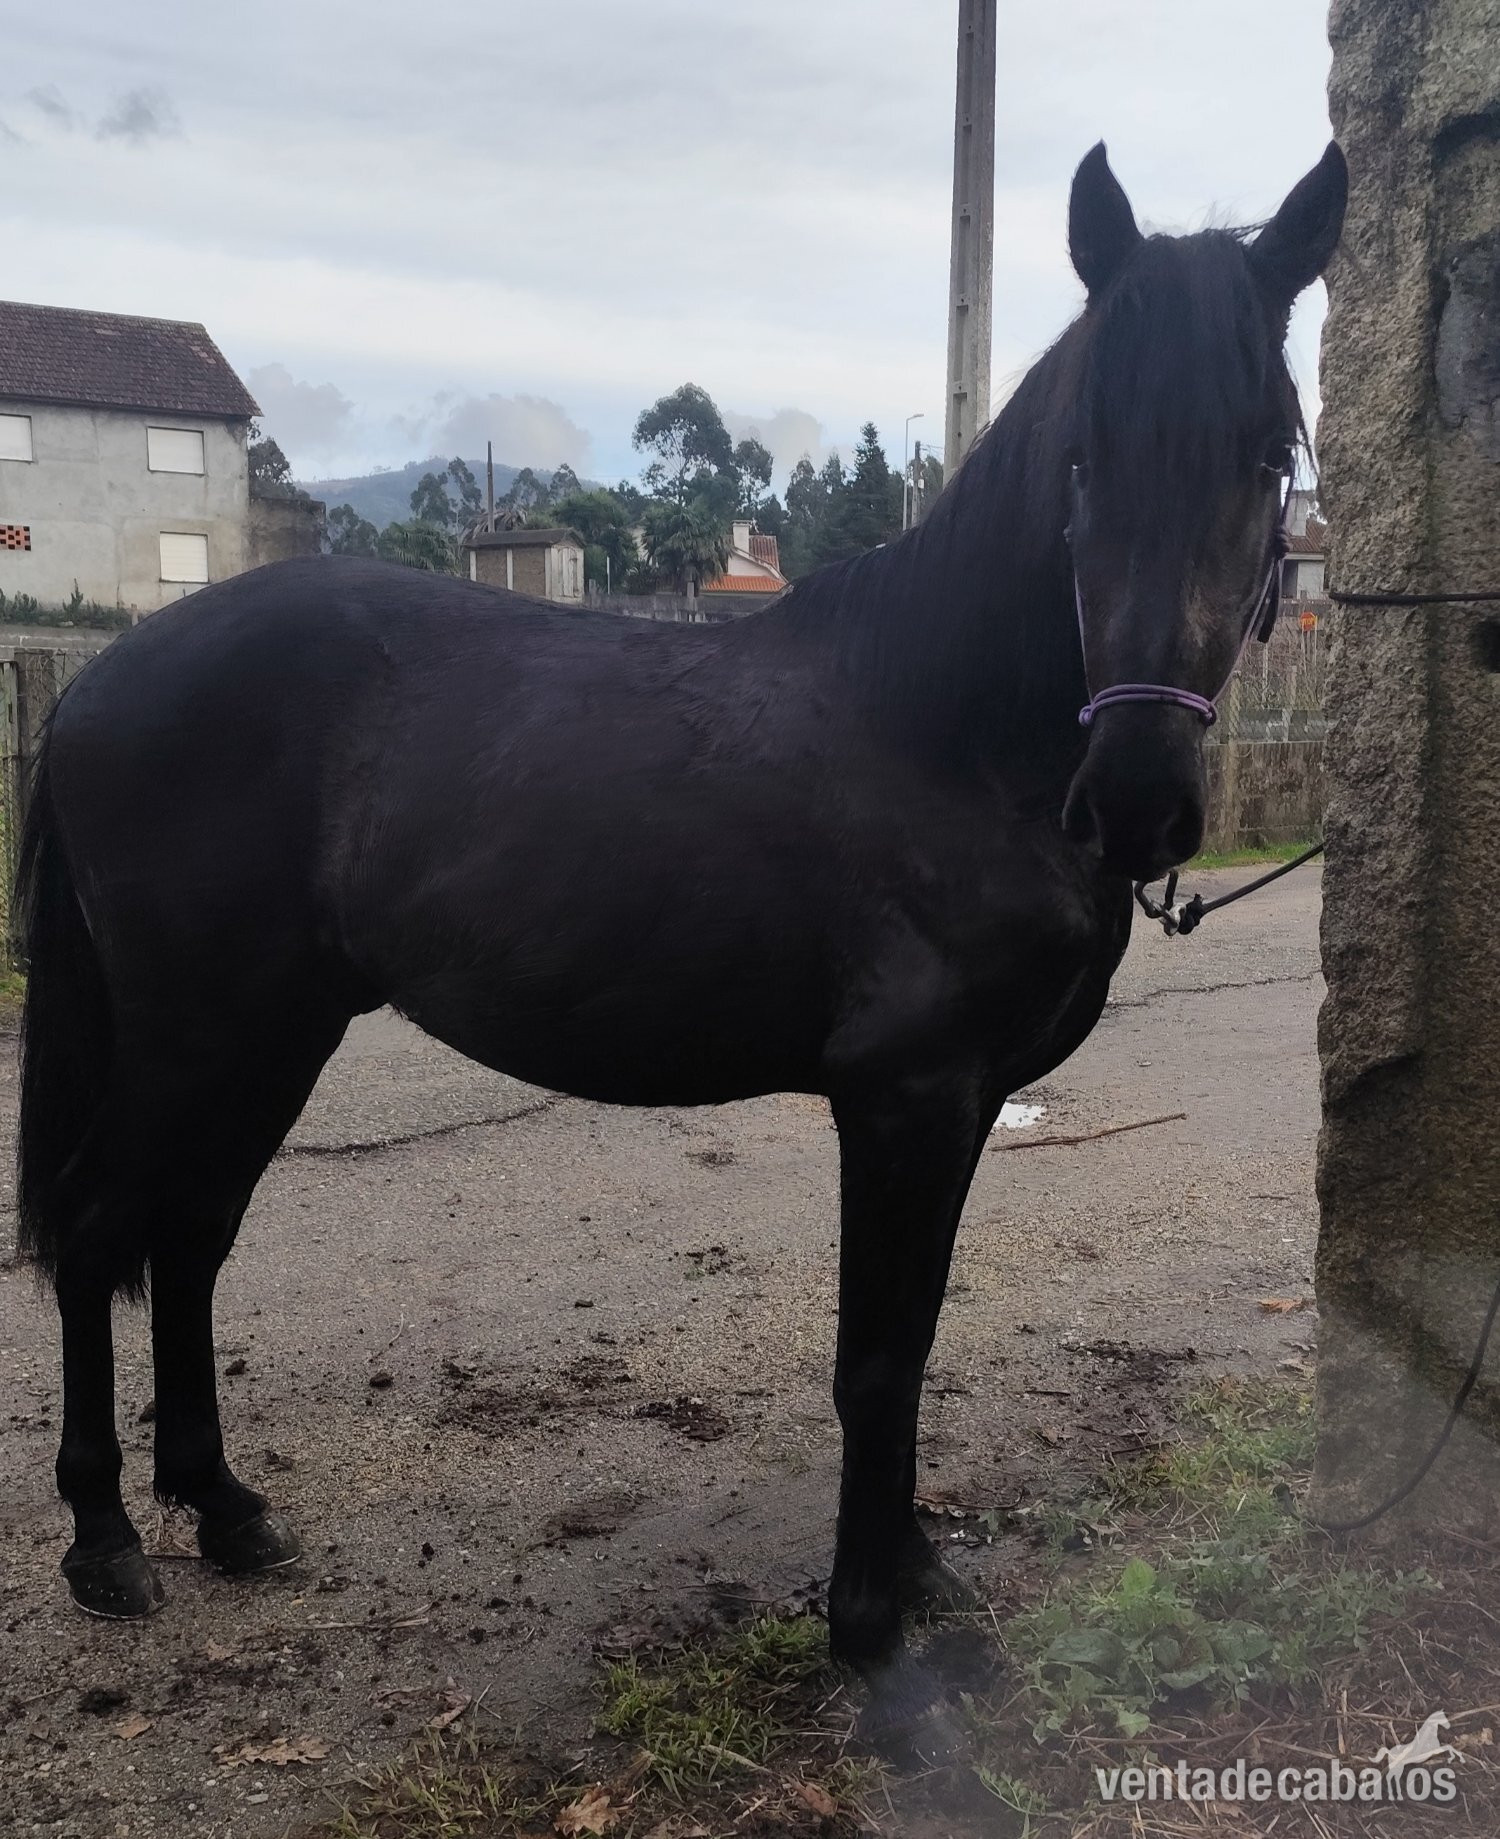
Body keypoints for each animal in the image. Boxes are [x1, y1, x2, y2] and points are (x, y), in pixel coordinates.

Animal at [15, 142, 1346, 1725]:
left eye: (1267, 451)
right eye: (1087, 451)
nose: (1140, 796)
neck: (952, 732)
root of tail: (99, 689)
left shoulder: (962, 1105)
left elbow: (917, 1327)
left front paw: (917, 1573)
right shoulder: (902, 1098)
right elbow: (877, 1354)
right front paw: (866, 1621)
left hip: (271, 1033)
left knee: (192, 1235)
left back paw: (223, 1509)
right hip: (193, 1032)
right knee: (99, 1228)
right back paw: (105, 1541)